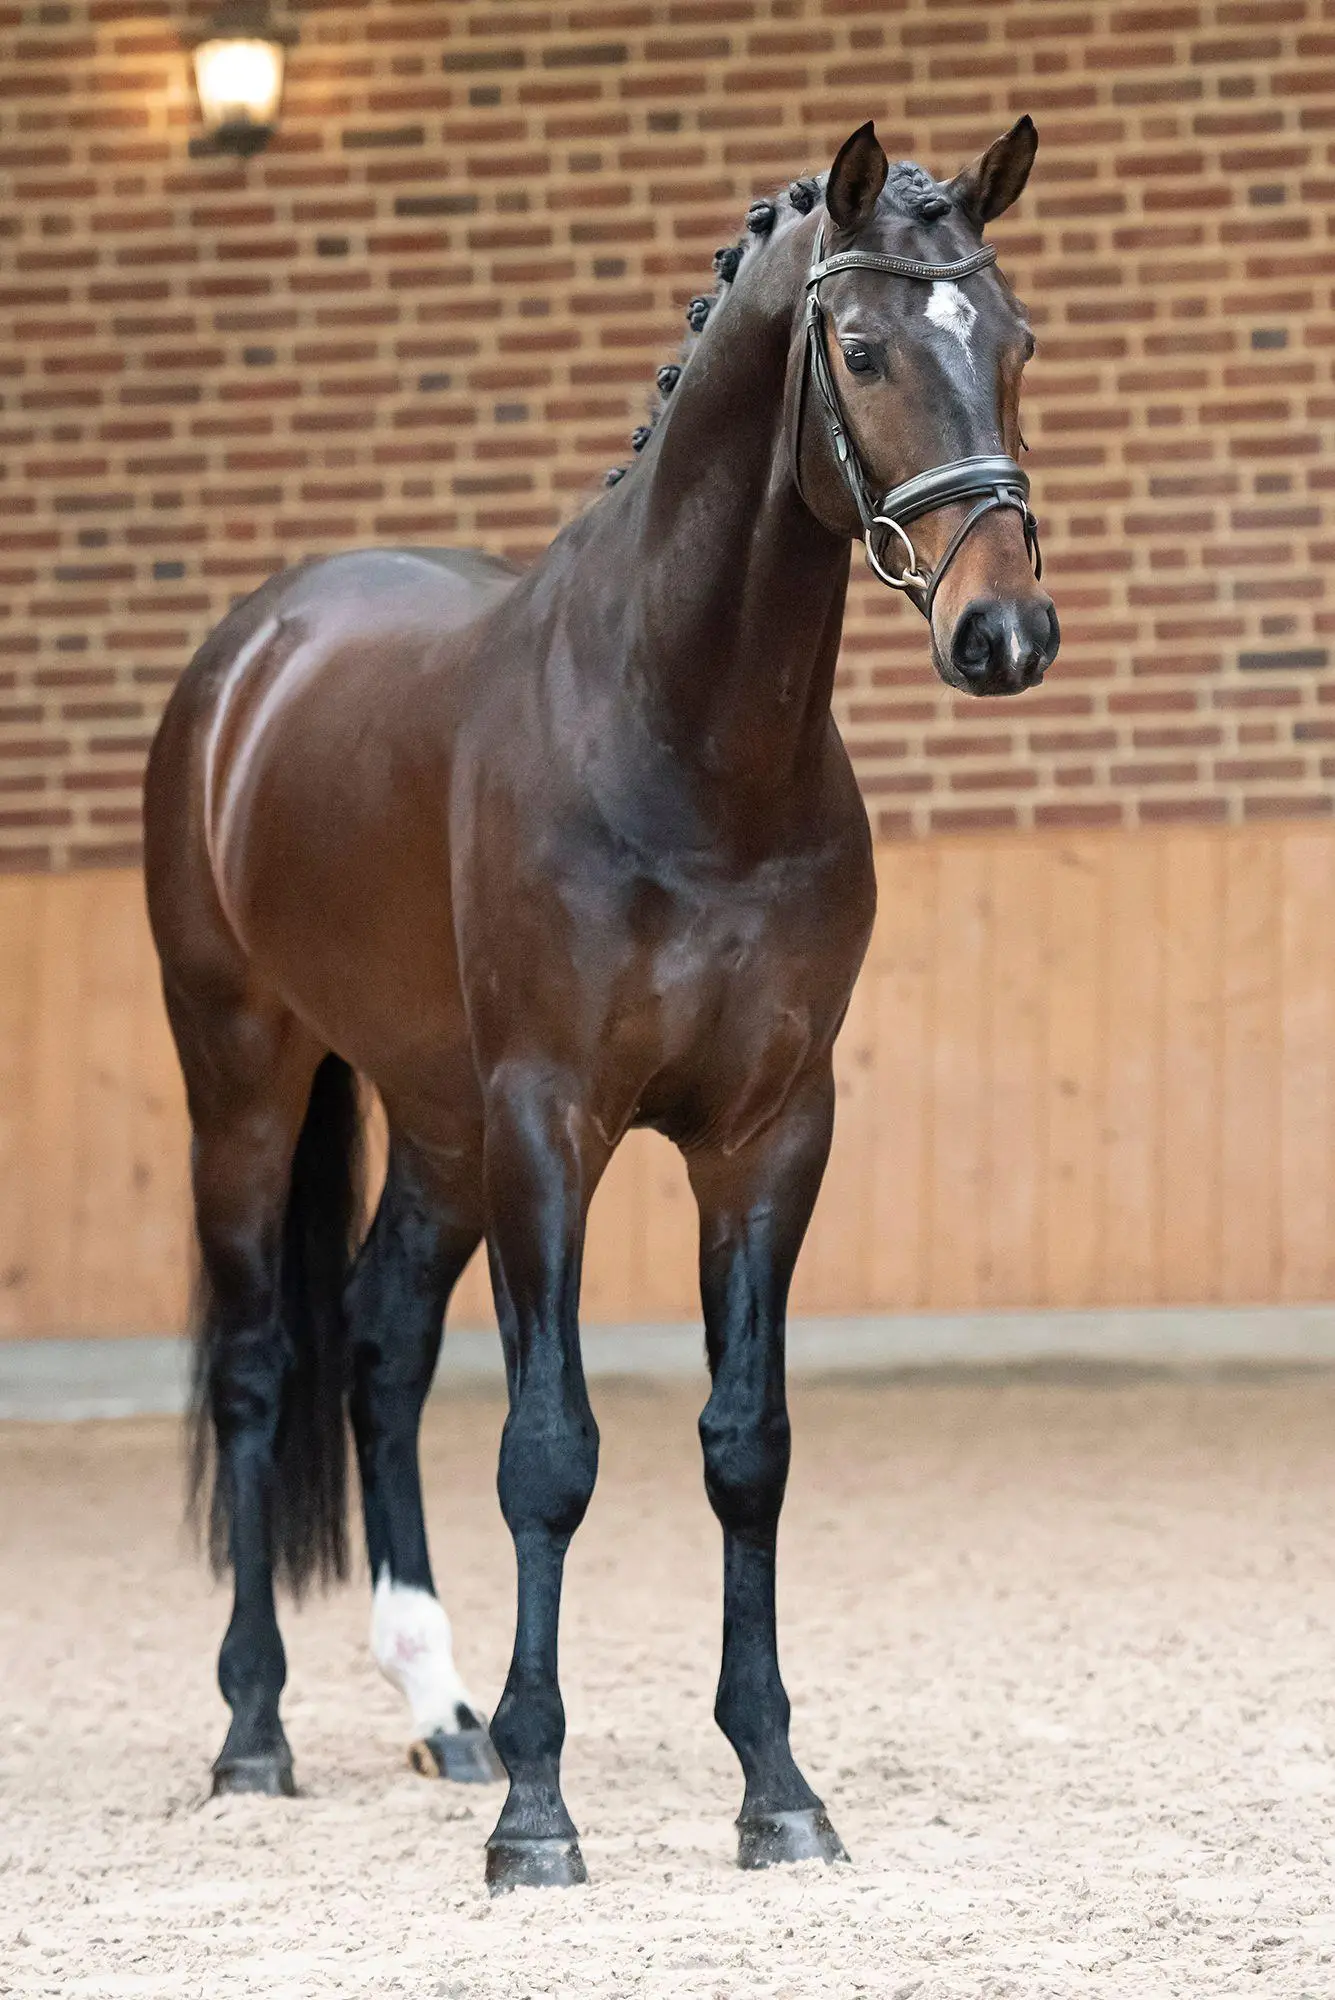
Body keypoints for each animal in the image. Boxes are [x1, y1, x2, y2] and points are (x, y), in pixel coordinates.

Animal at [143, 115, 1058, 1893]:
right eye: (859, 349)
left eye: (1016, 343)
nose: (1002, 631)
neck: (682, 735)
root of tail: (252, 653)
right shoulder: (547, 1122)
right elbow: (549, 1454)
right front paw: (538, 1817)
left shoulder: (766, 1134)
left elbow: (745, 1448)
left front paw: (772, 1787)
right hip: (247, 1075)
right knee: (263, 1368)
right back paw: (254, 1731)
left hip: (434, 1121)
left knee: (378, 1344)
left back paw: (442, 1712)